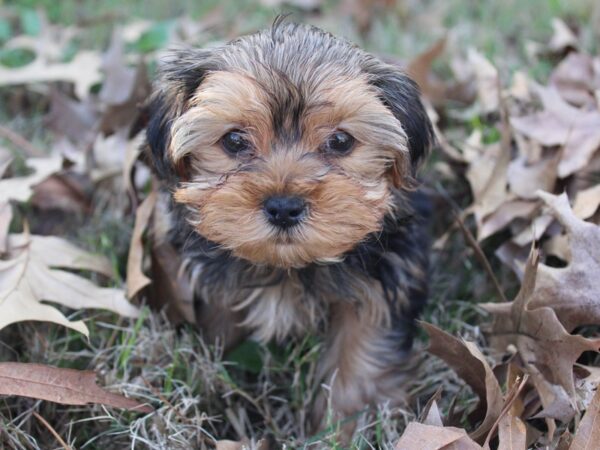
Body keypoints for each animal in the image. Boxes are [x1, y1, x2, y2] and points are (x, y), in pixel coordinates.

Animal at [146, 20, 436, 432]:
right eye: (234, 140)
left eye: (340, 141)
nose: (284, 207)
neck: (286, 268)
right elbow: (220, 326)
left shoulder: (384, 277)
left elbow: (362, 349)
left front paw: (347, 425)